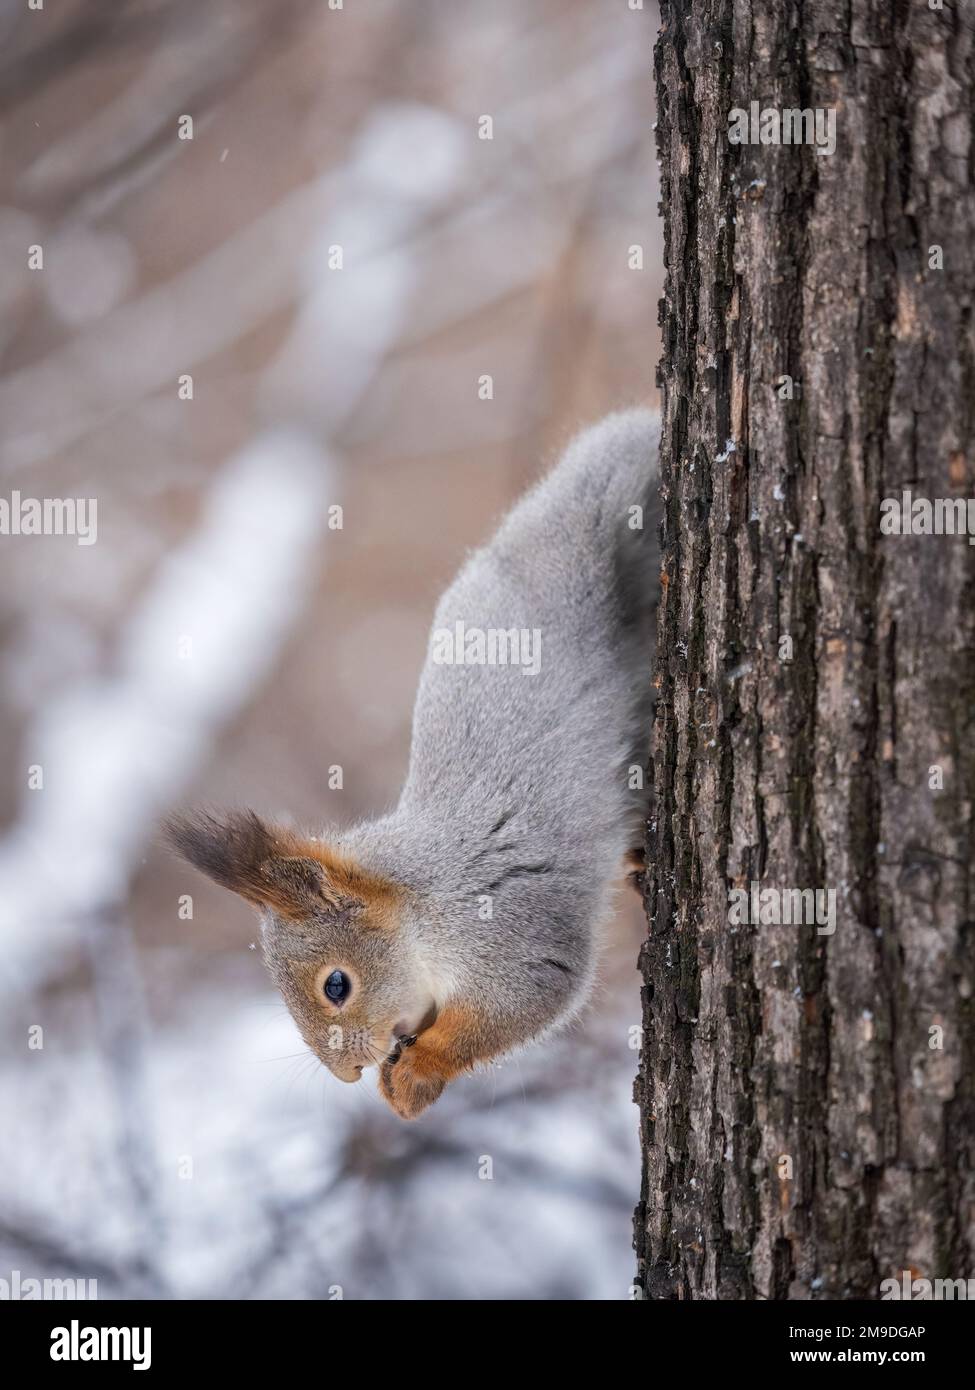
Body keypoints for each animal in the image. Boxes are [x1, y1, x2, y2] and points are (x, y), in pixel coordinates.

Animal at [167, 409, 661, 1118]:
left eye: (336, 986)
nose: (347, 1074)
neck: (425, 905)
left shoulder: (512, 934)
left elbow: (518, 1009)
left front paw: (415, 1077)